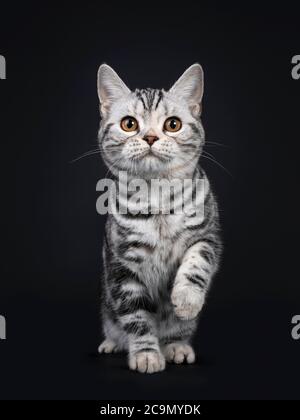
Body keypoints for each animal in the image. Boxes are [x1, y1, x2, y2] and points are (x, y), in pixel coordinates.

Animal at [97, 63, 221, 374]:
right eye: (129, 124)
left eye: (172, 124)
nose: (151, 137)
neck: (158, 195)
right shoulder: (122, 265)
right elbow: (136, 316)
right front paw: (145, 354)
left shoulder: (208, 236)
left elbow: (197, 263)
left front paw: (186, 298)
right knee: (116, 327)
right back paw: (113, 343)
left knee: (176, 330)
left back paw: (176, 346)